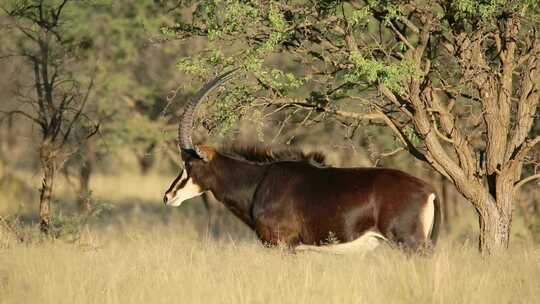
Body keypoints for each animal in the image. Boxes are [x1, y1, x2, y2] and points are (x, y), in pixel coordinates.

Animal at [163, 70, 438, 253]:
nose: (167, 197)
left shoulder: (282, 246)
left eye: (188, 165)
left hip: (409, 244)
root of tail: (429, 191)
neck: (258, 181)